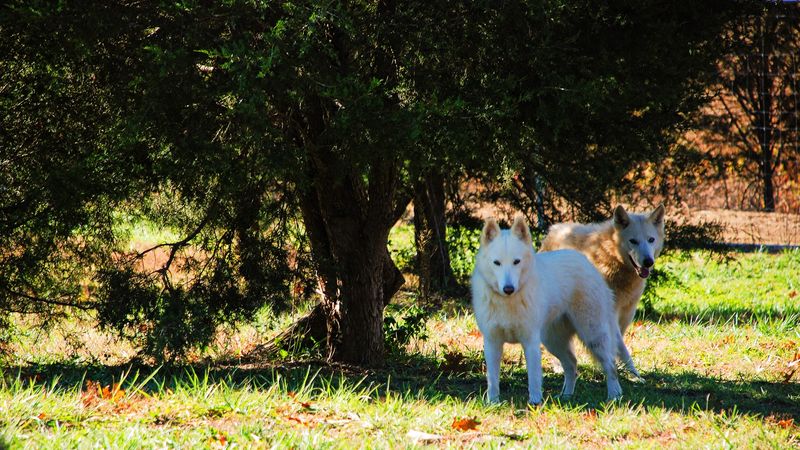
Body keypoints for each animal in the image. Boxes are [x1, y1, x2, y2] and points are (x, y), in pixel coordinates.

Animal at [471, 214, 639, 404]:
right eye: (497, 263)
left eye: (516, 262)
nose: (508, 289)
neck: (509, 302)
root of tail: (585, 262)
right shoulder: (492, 343)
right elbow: (492, 379)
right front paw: (492, 403)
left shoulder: (531, 342)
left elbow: (534, 377)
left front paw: (535, 403)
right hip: (553, 340)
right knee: (572, 364)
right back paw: (566, 396)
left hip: (593, 335)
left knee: (610, 365)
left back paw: (614, 395)